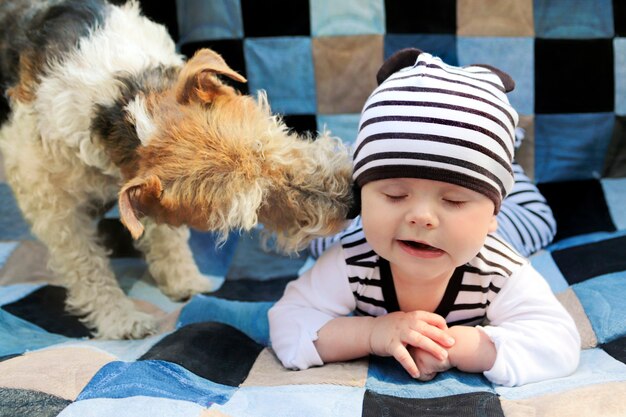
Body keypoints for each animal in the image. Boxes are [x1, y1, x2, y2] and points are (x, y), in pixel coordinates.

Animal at [0, 0, 352, 338]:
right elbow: (86, 265)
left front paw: (186, 282)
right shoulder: (50, 203)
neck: (118, 102)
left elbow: (166, 236)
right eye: (255, 207)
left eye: (266, 139)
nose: (350, 203)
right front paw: (122, 320)